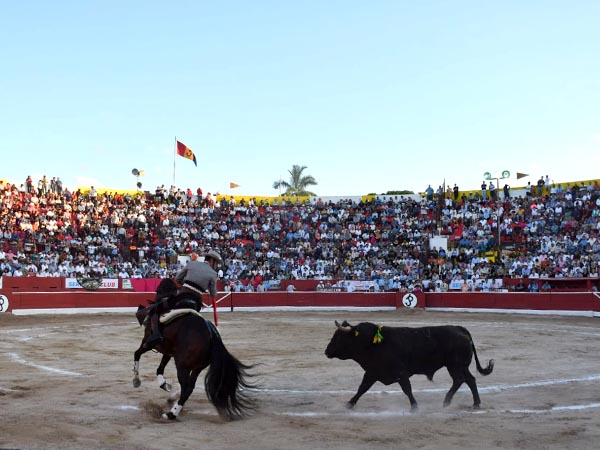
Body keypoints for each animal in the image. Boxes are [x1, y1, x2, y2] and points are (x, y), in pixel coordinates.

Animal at [134, 280, 255, 420]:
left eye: (158, 289)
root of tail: (211, 335)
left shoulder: (148, 343)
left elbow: (137, 354)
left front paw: (136, 380)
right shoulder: (168, 351)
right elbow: (160, 368)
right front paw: (164, 385)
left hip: (182, 366)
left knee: (186, 387)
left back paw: (171, 413)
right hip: (198, 367)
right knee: (189, 387)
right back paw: (174, 404)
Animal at [326, 320, 494, 412]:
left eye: (339, 336)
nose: (326, 351)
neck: (372, 343)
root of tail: (460, 328)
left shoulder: (400, 372)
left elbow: (407, 389)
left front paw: (414, 407)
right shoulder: (372, 372)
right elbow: (362, 388)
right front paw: (349, 404)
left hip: (455, 365)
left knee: (459, 380)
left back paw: (446, 402)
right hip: (461, 366)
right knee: (470, 379)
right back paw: (476, 403)